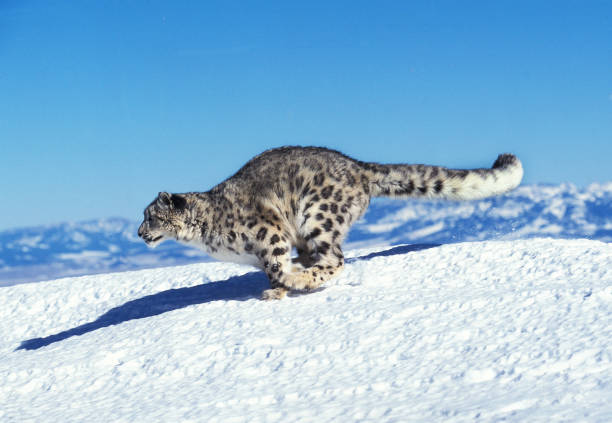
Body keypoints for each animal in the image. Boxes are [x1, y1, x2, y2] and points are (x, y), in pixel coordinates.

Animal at [137, 147, 520, 300]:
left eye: (151, 216)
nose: (139, 233)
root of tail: (358, 166)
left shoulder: (270, 234)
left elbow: (275, 265)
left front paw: (279, 289)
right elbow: (272, 270)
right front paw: (278, 286)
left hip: (317, 216)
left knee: (335, 260)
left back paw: (301, 278)